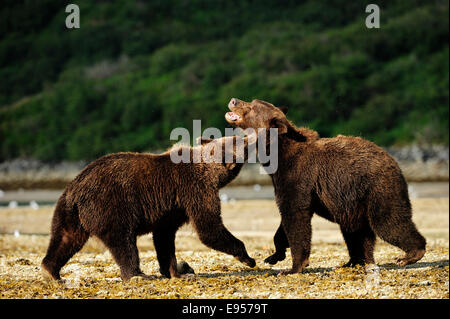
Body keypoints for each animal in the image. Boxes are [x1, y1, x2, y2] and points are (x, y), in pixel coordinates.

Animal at [41, 136, 256, 282]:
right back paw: (137, 274)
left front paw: (175, 271)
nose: (250, 136)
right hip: (110, 205)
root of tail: (75, 189)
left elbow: (164, 238)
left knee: (66, 238)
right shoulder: (194, 189)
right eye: (240, 142)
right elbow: (208, 227)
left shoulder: (172, 209)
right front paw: (248, 258)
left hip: (69, 211)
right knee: (123, 242)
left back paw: (51, 271)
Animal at [225, 97, 426, 276]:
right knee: (356, 232)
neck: (277, 156)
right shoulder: (286, 182)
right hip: (354, 202)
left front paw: (293, 267)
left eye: (252, 106)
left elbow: (295, 217)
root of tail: (394, 161)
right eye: (251, 101)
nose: (234, 100)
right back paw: (353, 262)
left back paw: (408, 255)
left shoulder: (298, 177)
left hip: (378, 188)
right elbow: (285, 221)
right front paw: (274, 255)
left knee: (388, 222)